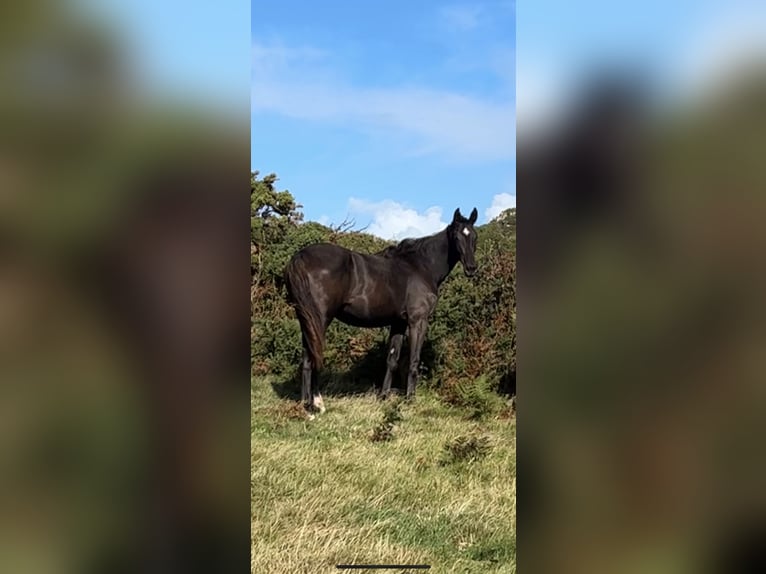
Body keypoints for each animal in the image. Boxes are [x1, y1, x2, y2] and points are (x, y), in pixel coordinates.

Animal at [284, 207, 479, 414]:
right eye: (457, 236)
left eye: (474, 236)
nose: (471, 268)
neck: (420, 266)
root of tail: (300, 257)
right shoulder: (418, 321)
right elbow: (413, 361)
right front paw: (410, 400)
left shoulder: (398, 323)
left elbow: (392, 360)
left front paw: (384, 396)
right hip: (319, 319)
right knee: (312, 357)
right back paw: (316, 403)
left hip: (305, 319)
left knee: (306, 359)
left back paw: (305, 404)